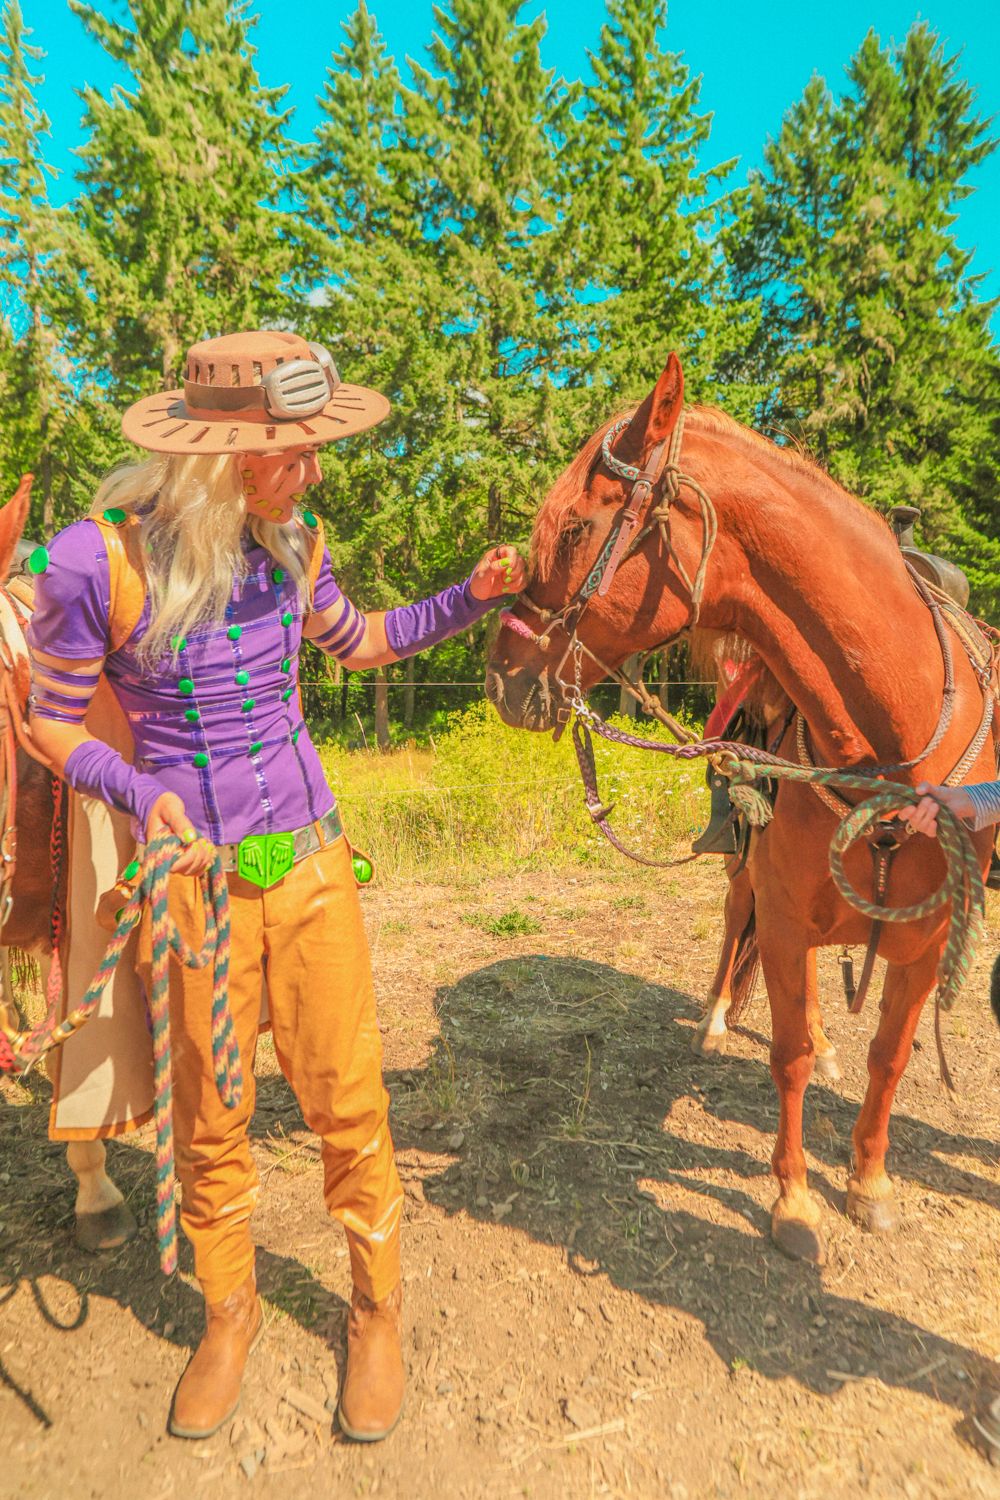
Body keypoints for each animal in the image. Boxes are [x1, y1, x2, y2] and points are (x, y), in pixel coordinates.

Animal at [486, 354, 996, 1267]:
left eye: (577, 528)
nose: (500, 675)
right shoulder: (785, 910)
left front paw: (869, 1183)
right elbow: (785, 1055)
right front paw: (793, 1202)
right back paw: (720, 1017)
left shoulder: (930, 935)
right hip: (745, 869)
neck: (894, 740)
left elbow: (889, 1056)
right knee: (735, 924)